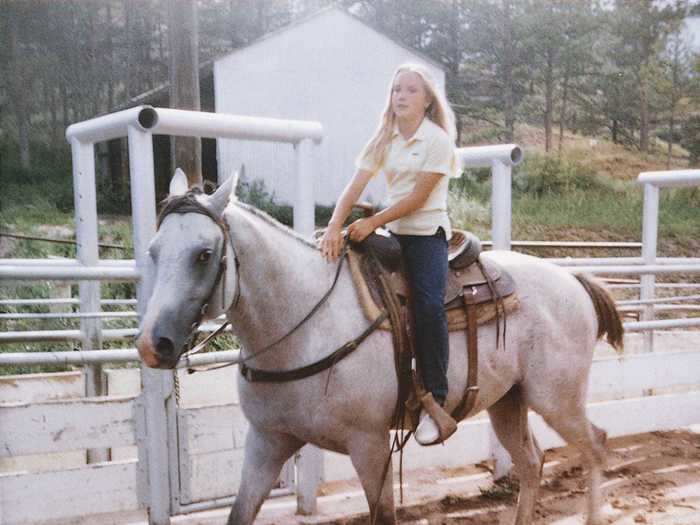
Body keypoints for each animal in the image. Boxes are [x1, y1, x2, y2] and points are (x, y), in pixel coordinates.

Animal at [137, 169, 624, 524]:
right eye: (154, 250)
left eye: (203, 254)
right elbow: (240, 514)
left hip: (556, 398)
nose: (152, 344)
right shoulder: (267, 442)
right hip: (509, 401)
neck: (304, 323)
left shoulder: (369, 445)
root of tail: (572, 279)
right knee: (531, 462)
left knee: (595, 445)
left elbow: (383, 514)